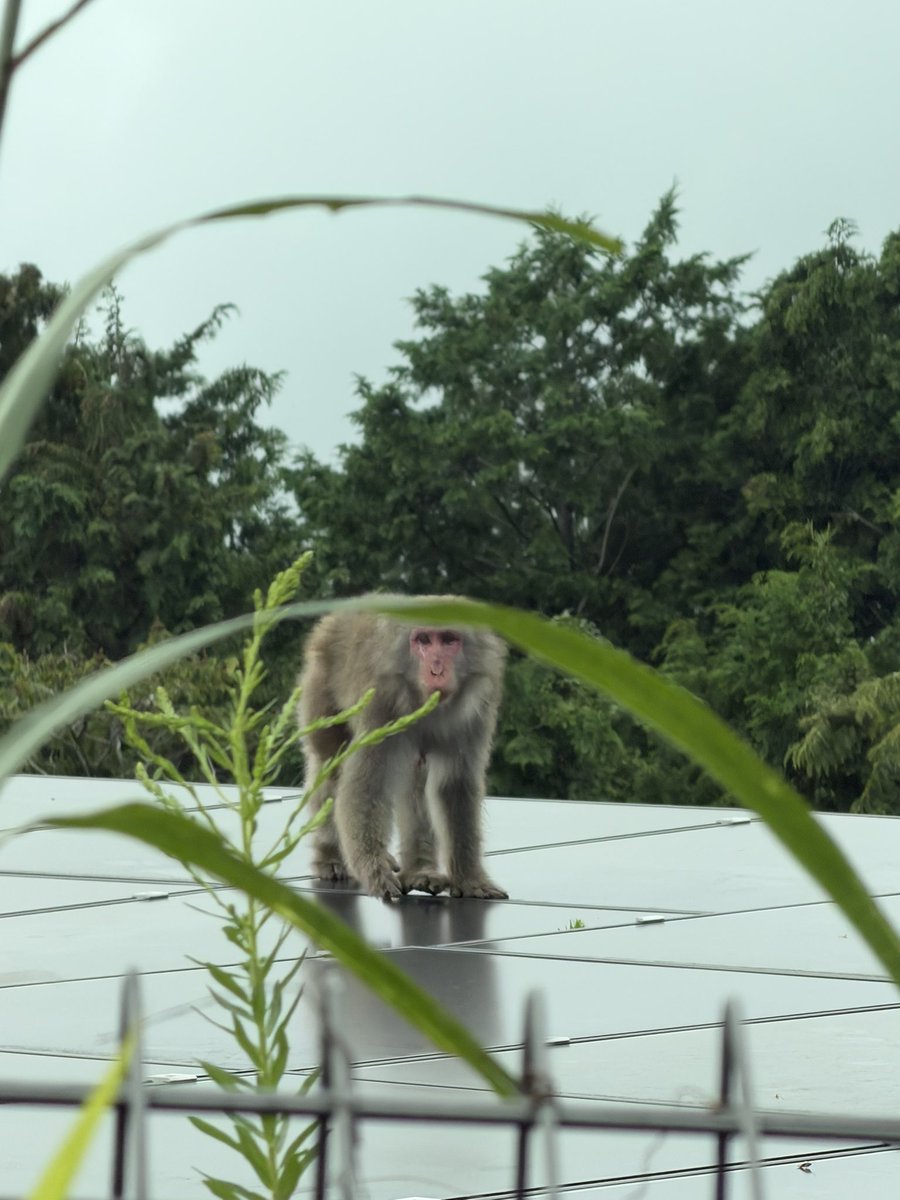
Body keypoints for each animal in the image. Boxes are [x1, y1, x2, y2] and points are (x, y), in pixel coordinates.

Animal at [296, 600, 508, 902]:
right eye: (423, 640)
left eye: (448, 640)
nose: (436, 668)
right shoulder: (380, 703)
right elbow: (365, 786)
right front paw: (375, 873)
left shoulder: (478, 710)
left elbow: (455, 786)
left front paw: (470, 879)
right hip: (320, 687)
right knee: (330, 764)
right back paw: (331, 858)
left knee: (416, 776)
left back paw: (420, 872)